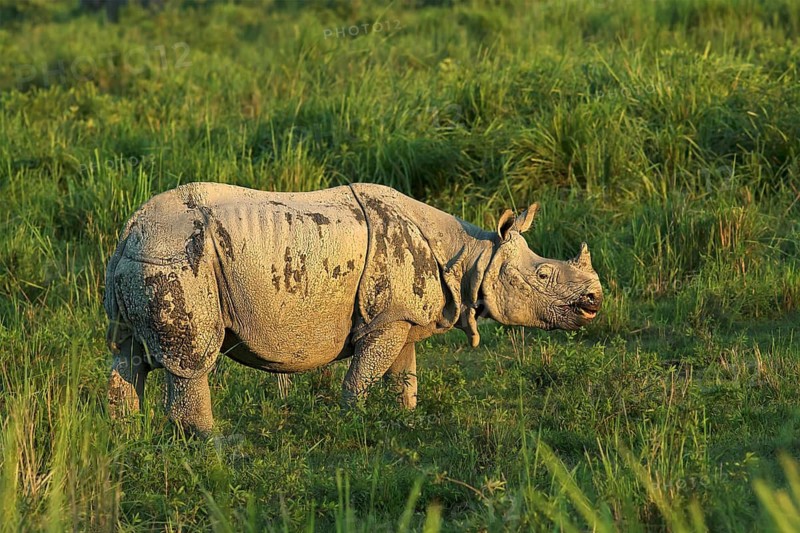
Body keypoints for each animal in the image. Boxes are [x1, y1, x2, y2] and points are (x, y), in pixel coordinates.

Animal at [105, 182, 602, 435]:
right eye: (544, 275)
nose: (595, 301)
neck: (472, 254)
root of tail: (130, 229)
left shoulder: (402, 316)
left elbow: (405, 376)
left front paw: (406, 422)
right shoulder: (385, 318)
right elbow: (363, 376)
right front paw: (354, 425)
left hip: (143, 255)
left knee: (126, 353)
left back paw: (125, 437)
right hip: (177, 256)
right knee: (191, 362)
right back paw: (213, 445)